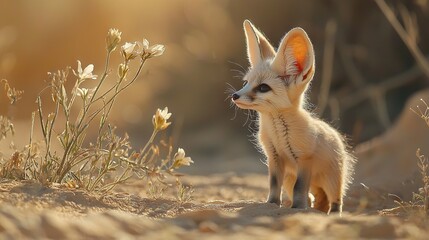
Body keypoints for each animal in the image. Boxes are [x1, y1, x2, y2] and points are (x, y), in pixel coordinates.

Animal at [231, 19, 354, 214]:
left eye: (263, 88)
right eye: (246, 83)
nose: (234, 96)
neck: (279, 135)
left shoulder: (304, 159)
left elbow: (300, 188)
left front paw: (298, 208)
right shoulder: (274, 158)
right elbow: (274, 186)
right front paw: (272, 204)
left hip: (332, 181)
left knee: (335, 201)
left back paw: (333, 214)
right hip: (292, 178)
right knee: (317, 200)